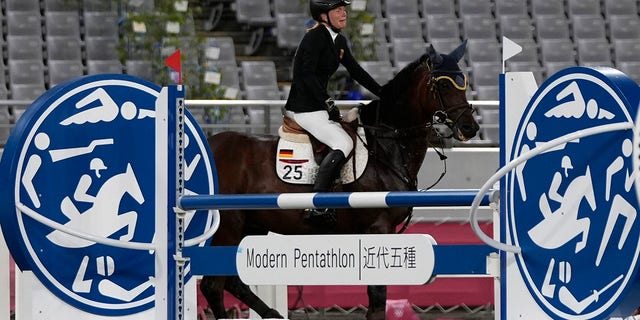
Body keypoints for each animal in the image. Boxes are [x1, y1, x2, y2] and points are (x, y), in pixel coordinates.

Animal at [201, 40, 480, 320]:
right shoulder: (378, 228)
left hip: (252, 226)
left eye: (464, 82)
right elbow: (377, 297)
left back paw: (273, 314)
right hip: (228, 227)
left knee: (232, 282)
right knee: (212, 285)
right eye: (444, 84)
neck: (386, 145)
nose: (470, 128)